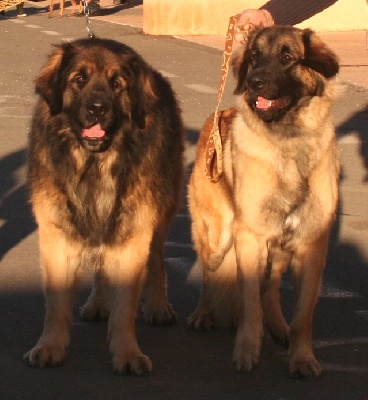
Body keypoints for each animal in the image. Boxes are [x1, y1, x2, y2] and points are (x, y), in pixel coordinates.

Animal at [188, 25, 340, 382]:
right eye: (254, 56)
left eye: (287, 57)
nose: (254, 82)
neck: (289, 143)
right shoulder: (249, 238)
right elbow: (249, 304)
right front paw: (246, 349)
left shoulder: (310, 247)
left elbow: (302, 316)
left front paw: (301, 357)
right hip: (219, 238)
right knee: (209, 274)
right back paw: (204, 314)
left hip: (279, 247)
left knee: (270, 287)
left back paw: (277, 326)